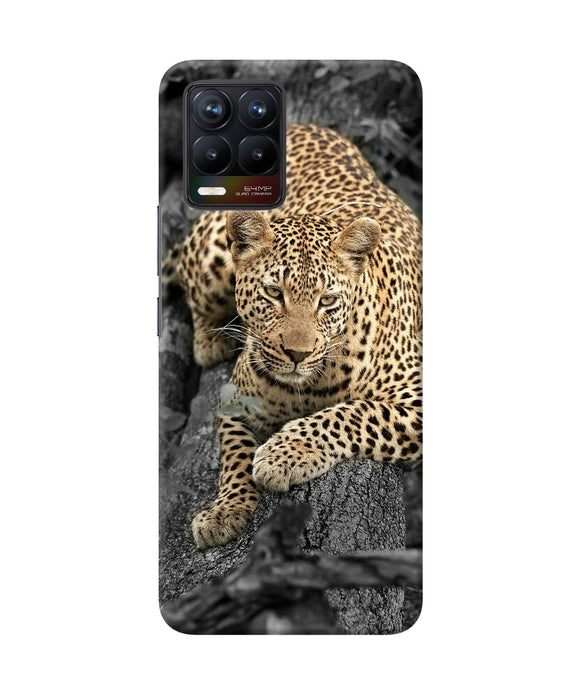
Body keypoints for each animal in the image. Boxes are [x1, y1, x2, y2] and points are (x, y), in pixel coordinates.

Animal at [168, 123, 422, 550]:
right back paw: (211, 341)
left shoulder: (416, 399)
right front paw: (225, 511)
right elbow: (234, 456)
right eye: (274, 293)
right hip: (211, 258)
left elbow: (352, 413)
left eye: (327, 300)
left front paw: (282, 455)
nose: (297, 354)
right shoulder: (235, 400)